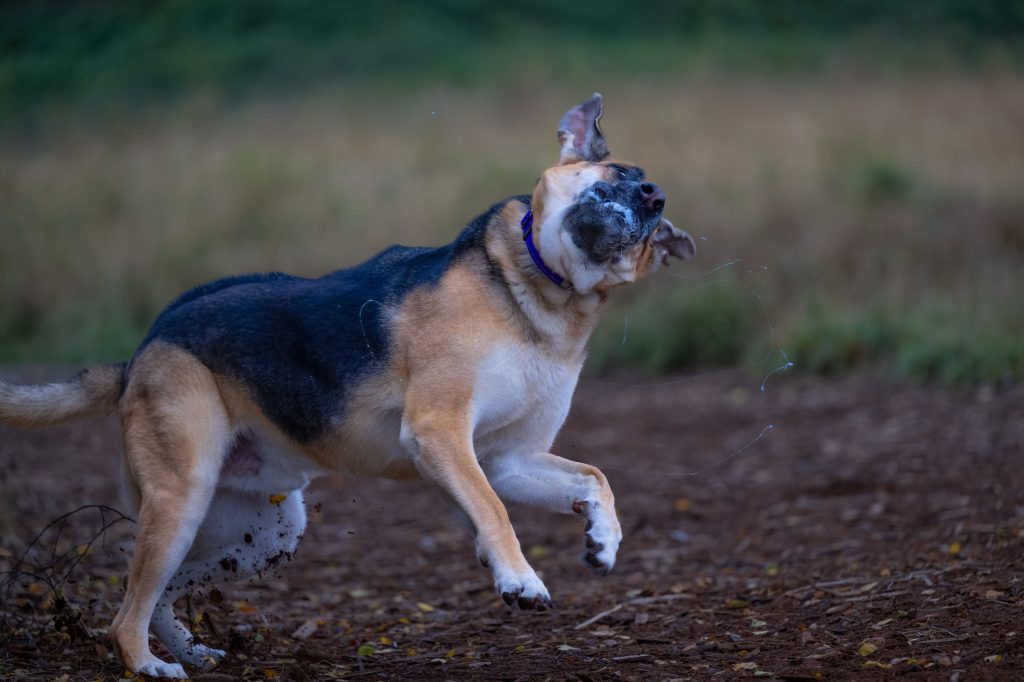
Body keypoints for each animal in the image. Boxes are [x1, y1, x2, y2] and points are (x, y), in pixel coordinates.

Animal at [0, 94, 696, 675]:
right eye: (617, 176)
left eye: (654, 206)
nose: (655, 196)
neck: (541, 294)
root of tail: (141, 351)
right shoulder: (442, 433)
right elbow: (493, 511)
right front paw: (519, 580)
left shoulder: (508, 458)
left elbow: (595, 479)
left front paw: (602, 541)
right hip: (182, 498)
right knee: (125, 610)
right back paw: (148, 665)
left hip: (259, 533)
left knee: (158, 594)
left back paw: (190, 652)